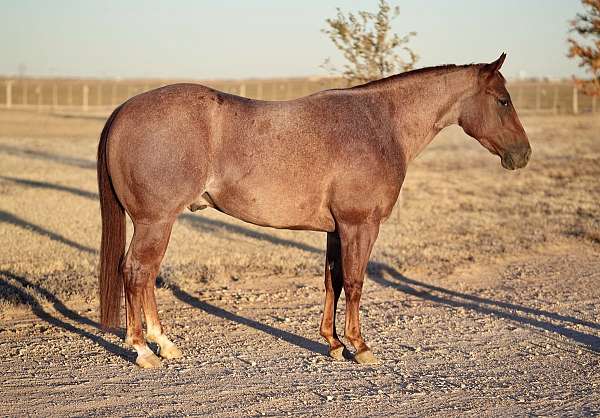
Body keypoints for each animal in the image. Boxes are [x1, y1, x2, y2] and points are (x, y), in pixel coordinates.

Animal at [97, 53, 528, 370]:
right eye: (503, 100)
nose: (522, 154)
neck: (380, 124)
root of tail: (123, 110)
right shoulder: (359, 226)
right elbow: (354, 282)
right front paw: (360, 347)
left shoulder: (336, 230)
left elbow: (332, 281)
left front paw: (334, 343)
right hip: (156, 222)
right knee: (136, 272)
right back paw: (143, 350)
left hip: (159, 223)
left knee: (146, 275)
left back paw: (164, 343)